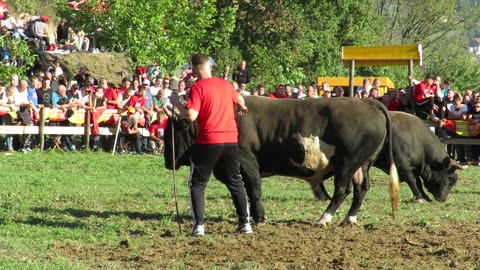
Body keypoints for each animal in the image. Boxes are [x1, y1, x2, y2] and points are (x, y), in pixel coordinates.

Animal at [163, 97, 400, 226]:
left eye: (171, 133)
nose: (168, 162)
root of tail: (368, 102)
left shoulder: (247, 160)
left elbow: (254, 189)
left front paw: (259, 217)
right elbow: (245, 191)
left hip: (348, 162)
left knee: (343, 190)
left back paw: (324, 218)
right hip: (362, 164)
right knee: (361, 189)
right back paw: (349, 219)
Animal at [312, 111, 464, 202]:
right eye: (450, 179)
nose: (443, 198)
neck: (417, 139)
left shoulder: (413, 166)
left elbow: (418, 182)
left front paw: (424, 196)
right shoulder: (401, 163)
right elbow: (412, 180)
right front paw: (420, 197)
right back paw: (323, 197)